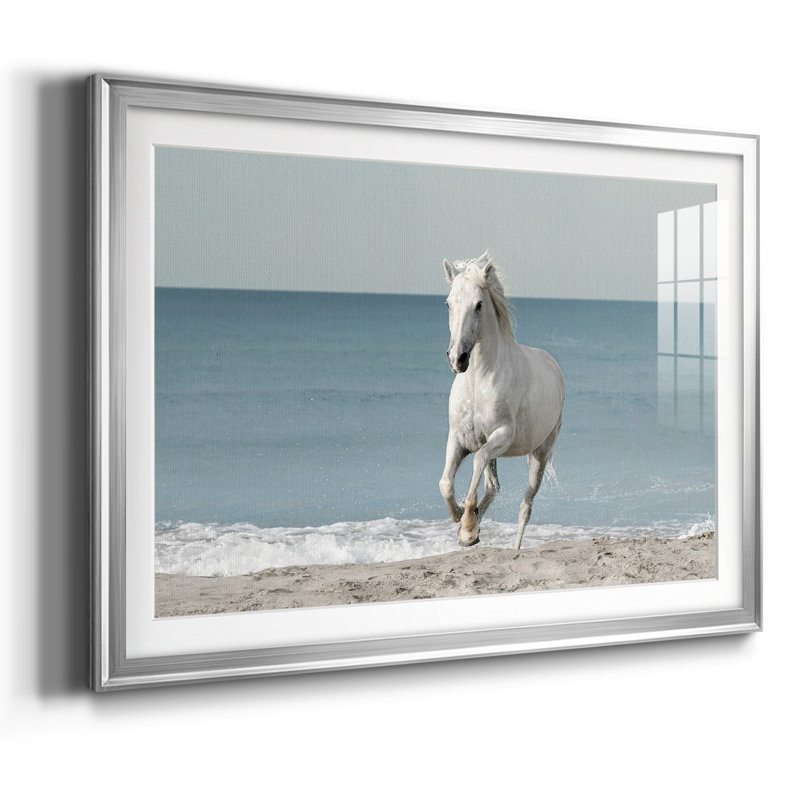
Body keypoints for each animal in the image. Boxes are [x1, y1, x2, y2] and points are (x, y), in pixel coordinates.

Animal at [439, 252, 565, 549]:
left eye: (478, 305)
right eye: (448, 303)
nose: (457, 359)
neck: (478, 382)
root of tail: (553, 365)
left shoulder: (502, 436)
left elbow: (476, 461)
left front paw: (468, 524)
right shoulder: (459, 438)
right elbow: (446, 483)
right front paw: (463, 522)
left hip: (540, 455)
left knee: (525, 507)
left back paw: (514, 547)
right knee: (493, 486)